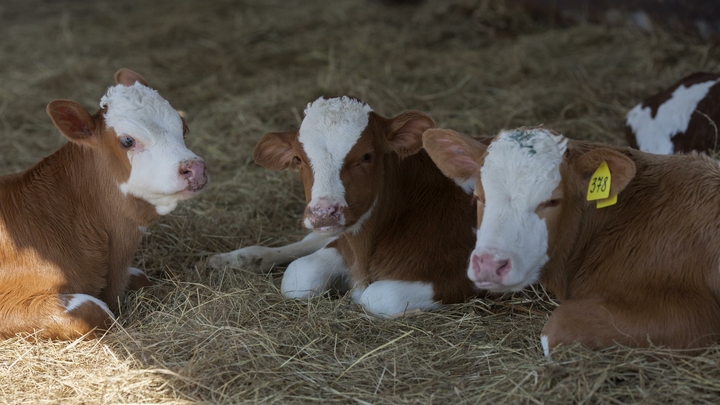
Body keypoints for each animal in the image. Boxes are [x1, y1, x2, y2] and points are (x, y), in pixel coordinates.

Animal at [208, 95, 480, 316]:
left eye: (366, 156)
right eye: (298, 159)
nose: (323, 213)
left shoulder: (459, 271)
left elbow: (379, 296)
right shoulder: (342, 242)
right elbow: (299, 274)